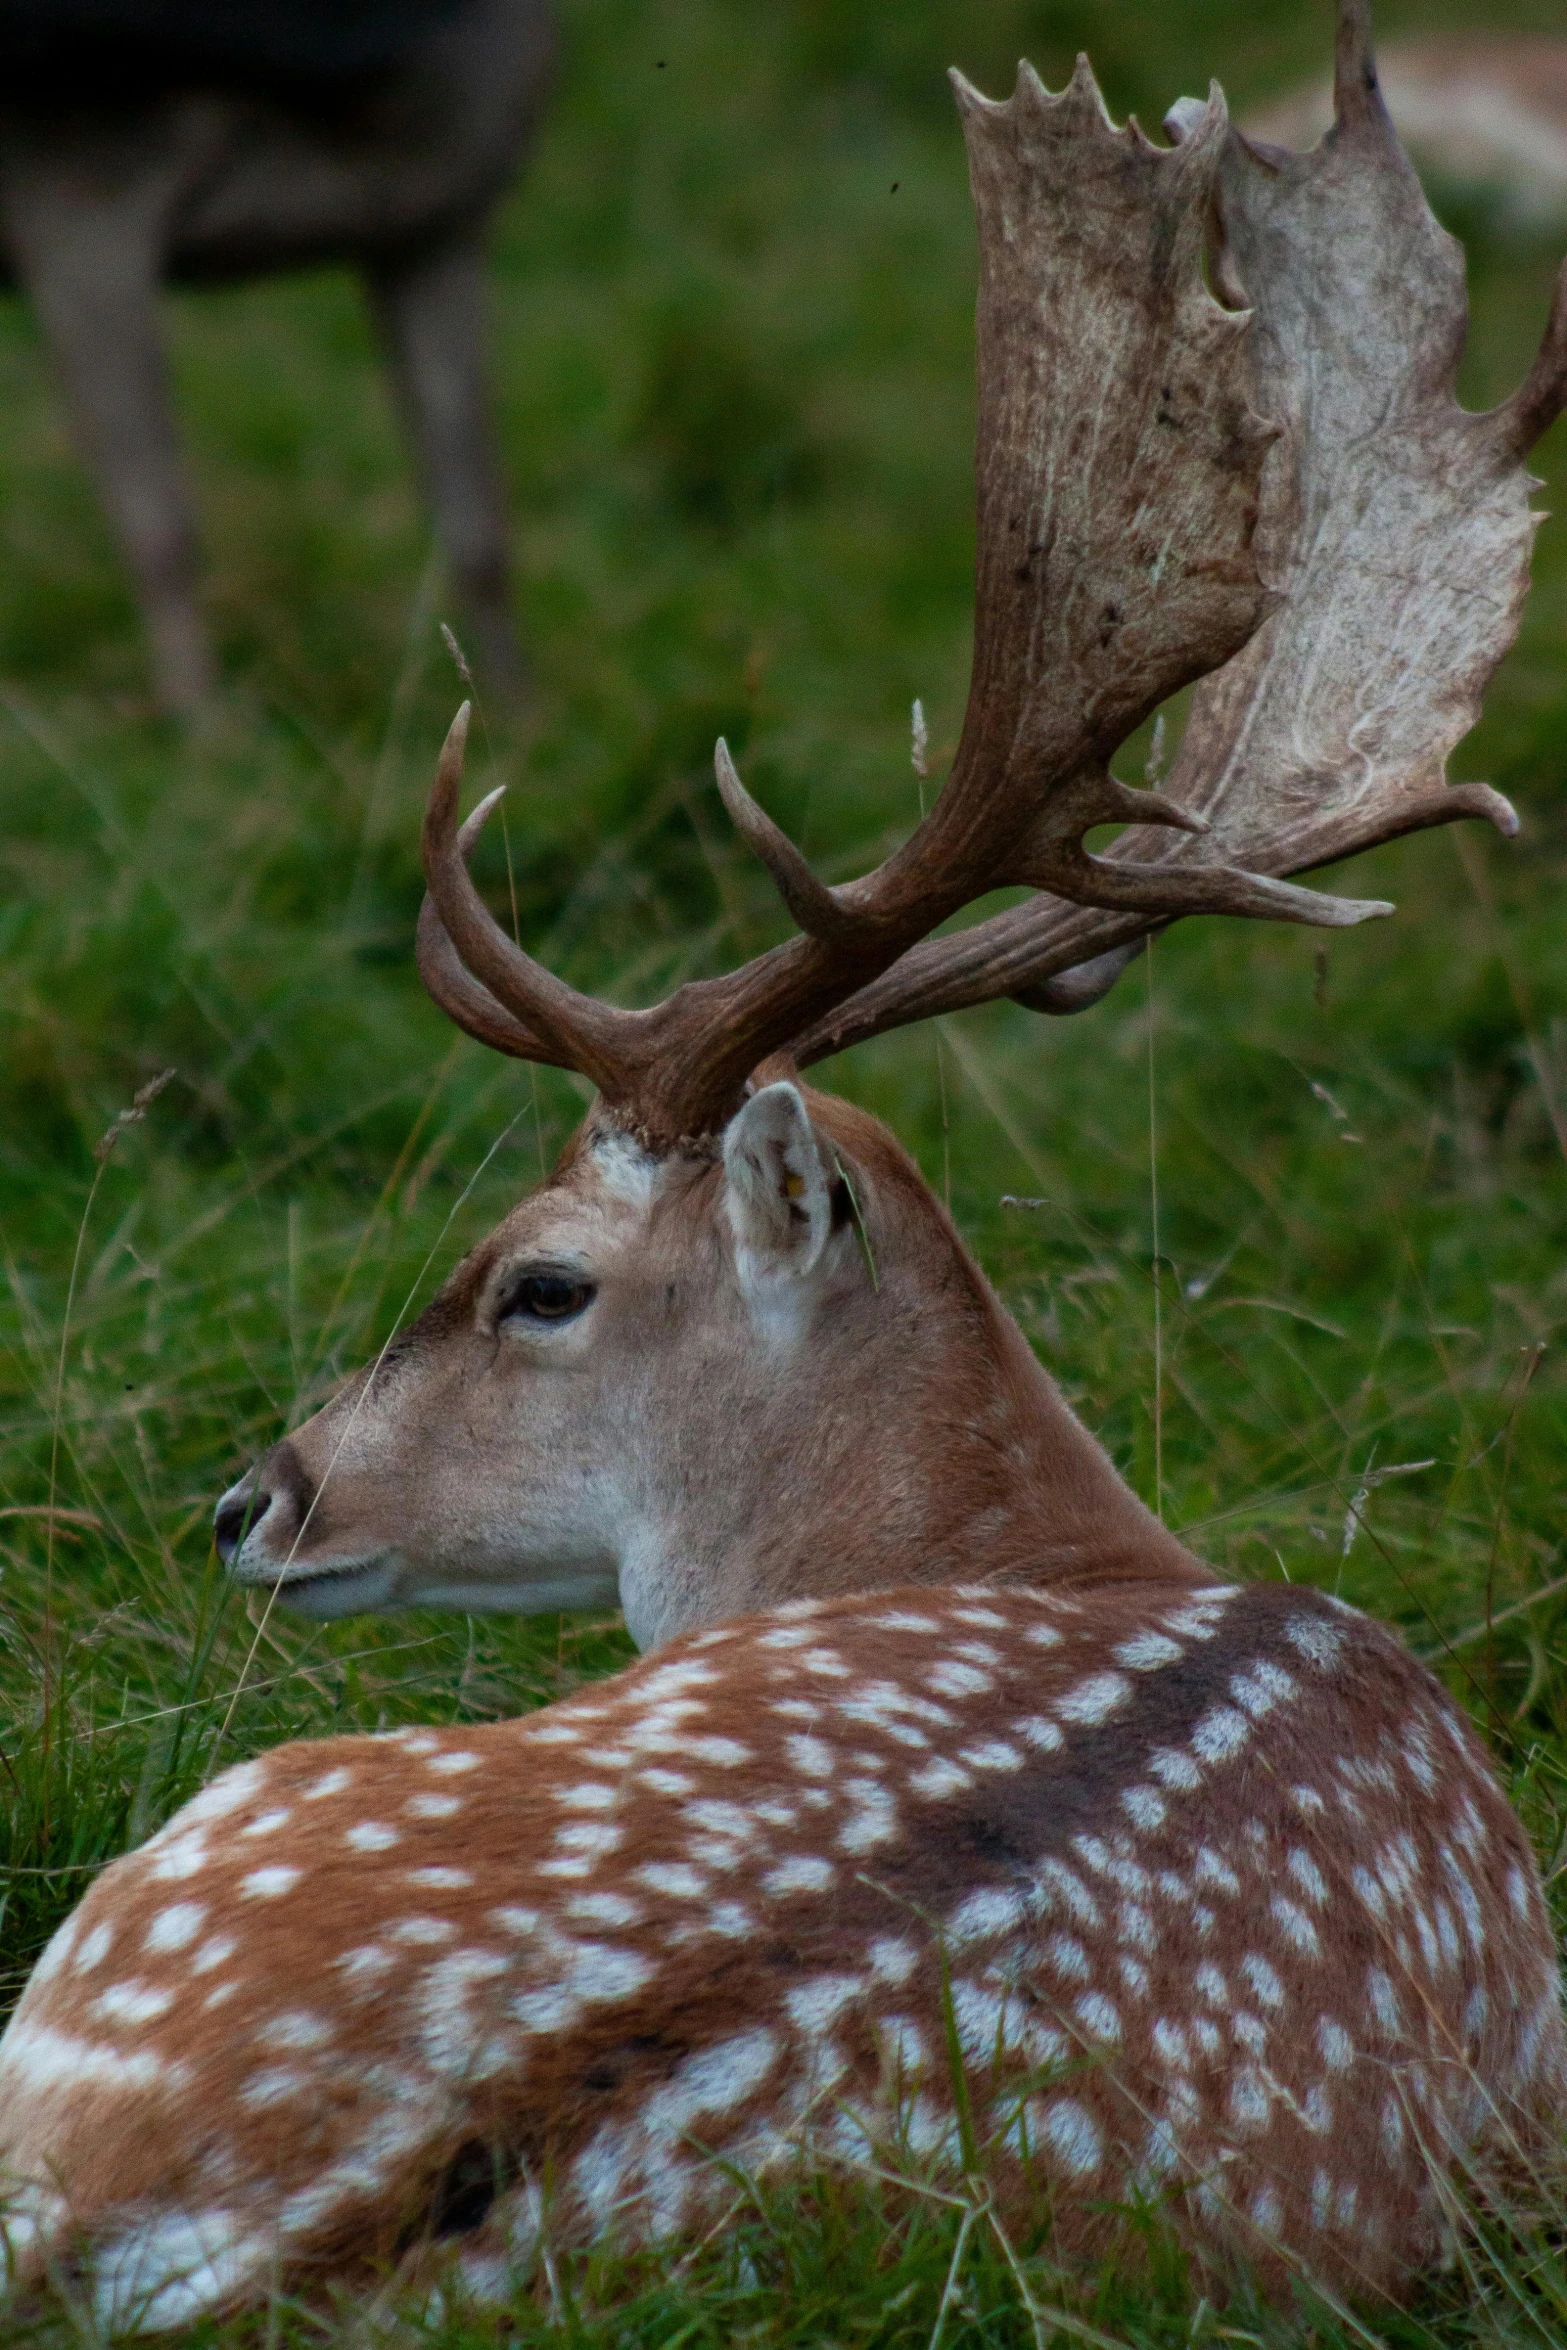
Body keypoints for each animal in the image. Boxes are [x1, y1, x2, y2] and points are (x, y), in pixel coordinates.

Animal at [0, 0, 552, 705]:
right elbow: (159, 533)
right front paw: (204, 730)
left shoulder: (433, 230)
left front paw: (520, 717)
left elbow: (477, 521)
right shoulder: (84, 207)